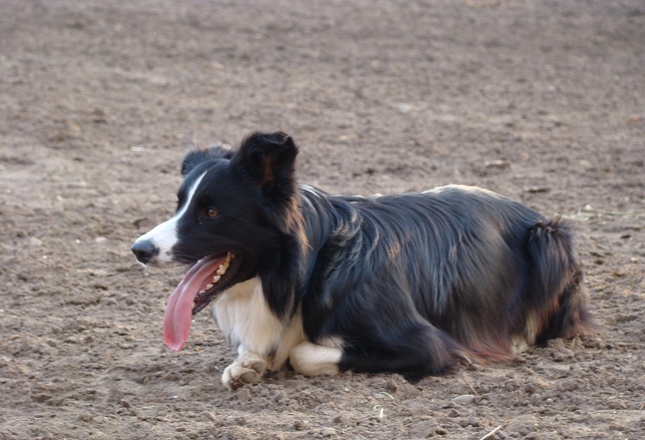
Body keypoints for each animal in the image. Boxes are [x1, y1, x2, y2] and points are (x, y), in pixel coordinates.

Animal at [132, 132, 592, 390]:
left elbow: (302, 354)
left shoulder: (430, 345)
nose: (139, 249)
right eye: (179, 204)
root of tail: (528, 211)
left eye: (211, 212)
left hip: (549, 240)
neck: (308, 270)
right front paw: (249, 365)